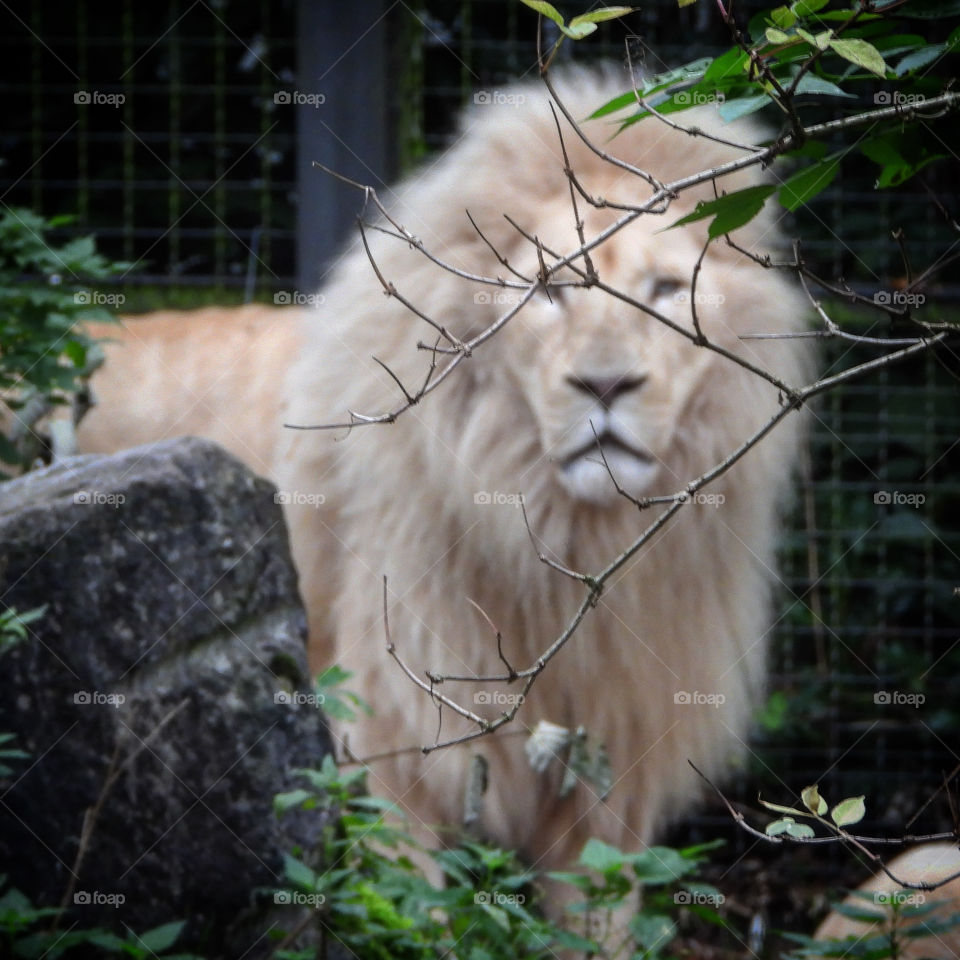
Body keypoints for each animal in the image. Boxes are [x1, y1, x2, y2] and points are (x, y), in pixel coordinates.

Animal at [75, 69, 812, 873]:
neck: (565, 541)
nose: (606, 384)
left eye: (667, 289)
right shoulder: (388, 750)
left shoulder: (612, 774)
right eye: (550, 290)